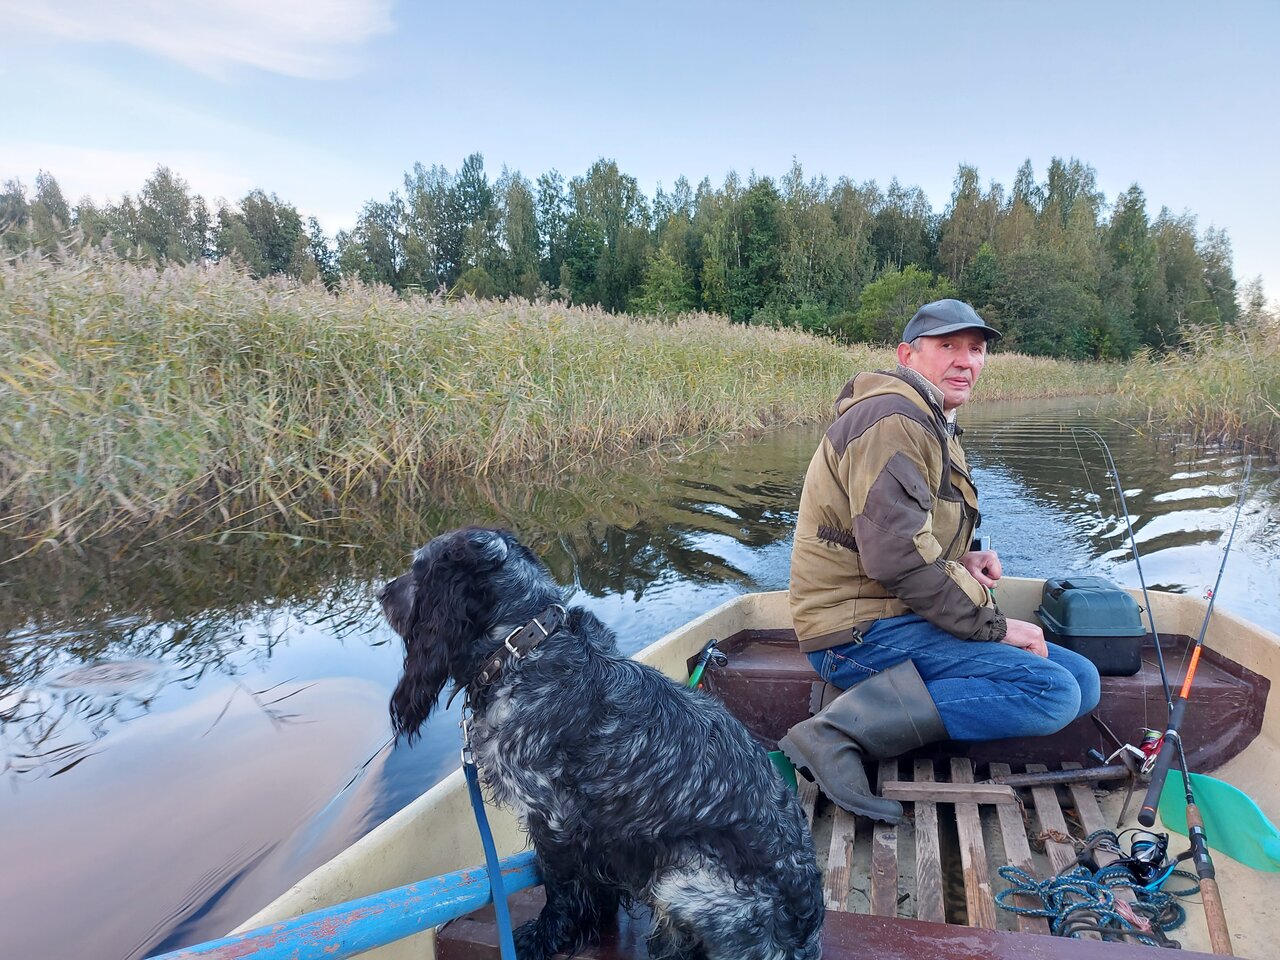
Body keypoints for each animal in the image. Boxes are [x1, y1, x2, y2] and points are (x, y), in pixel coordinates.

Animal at [380, 526, 824, 960]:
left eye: (418, 569)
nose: (382, 593)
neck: (524, 648)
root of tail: (806, 932)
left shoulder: (552, 815)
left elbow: (559, 888)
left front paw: (545, 937)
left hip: (684, 875)